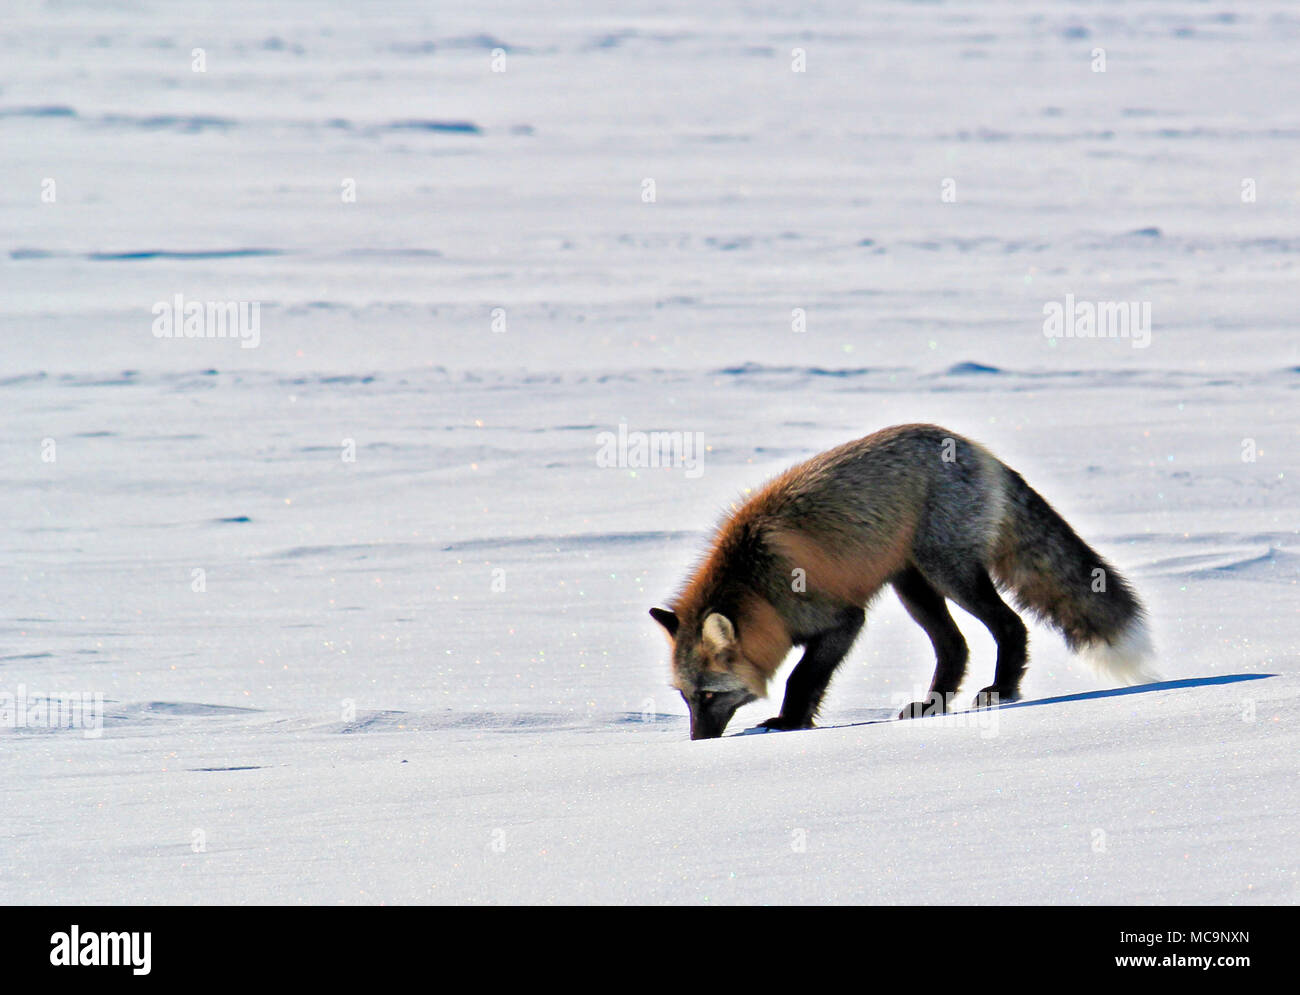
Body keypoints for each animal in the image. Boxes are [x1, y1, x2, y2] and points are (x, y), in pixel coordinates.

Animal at [649, 423, 1155, 740]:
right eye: (686, 698)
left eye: (710, 695)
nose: (698, 741)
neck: (759, 585)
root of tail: (973, 447)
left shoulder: (843, 620)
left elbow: (802, 677)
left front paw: (789, 723)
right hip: (912, 585)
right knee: (955, 646)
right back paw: (933, 706)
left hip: (947, 572)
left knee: (1009, 625)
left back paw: (1001, 692)